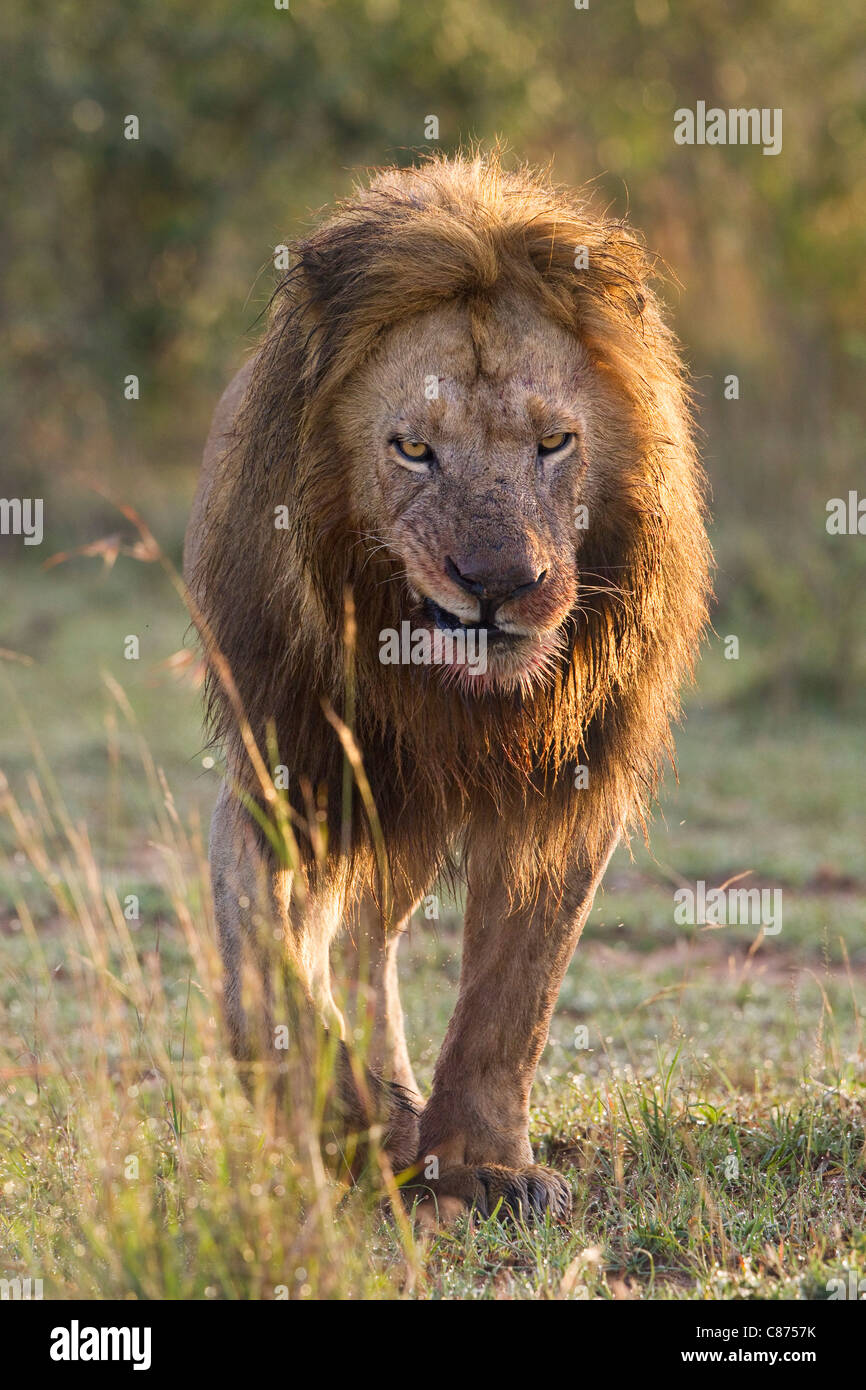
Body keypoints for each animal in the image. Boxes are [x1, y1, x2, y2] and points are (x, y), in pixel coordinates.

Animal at [184, 146, 711, 1223]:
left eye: (553, 443)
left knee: (368, 937)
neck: (449, 697)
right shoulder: (284, 769)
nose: (498, 586)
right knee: (337, 935)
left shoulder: (569, 786)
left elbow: (514, 994)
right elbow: (262, 956)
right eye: (413, 449)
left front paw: (481, 1160)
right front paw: (345, 1118)